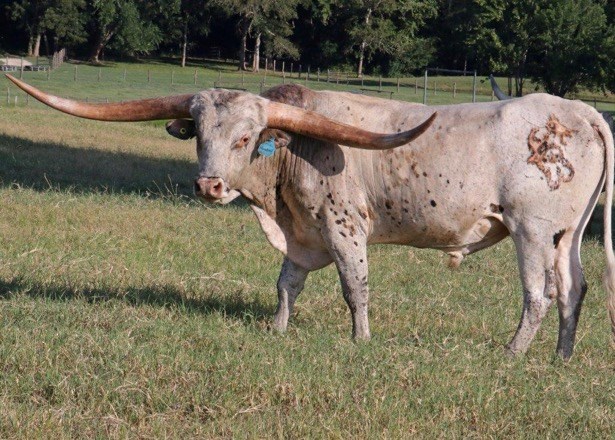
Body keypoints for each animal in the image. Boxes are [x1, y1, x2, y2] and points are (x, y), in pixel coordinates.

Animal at [6, 74, 615, 360]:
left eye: (246, 137)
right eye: (200, 133)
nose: (208, 185)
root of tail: (580, 111)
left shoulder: (344, 228)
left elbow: (354, 287)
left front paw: (361, 341)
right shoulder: (300, 236)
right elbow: (286, 283)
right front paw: (277, 328)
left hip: (531, 230)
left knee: (538, 294)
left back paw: (511, 354)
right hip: (567, 235)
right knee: (573, 290)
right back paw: (560, 358)